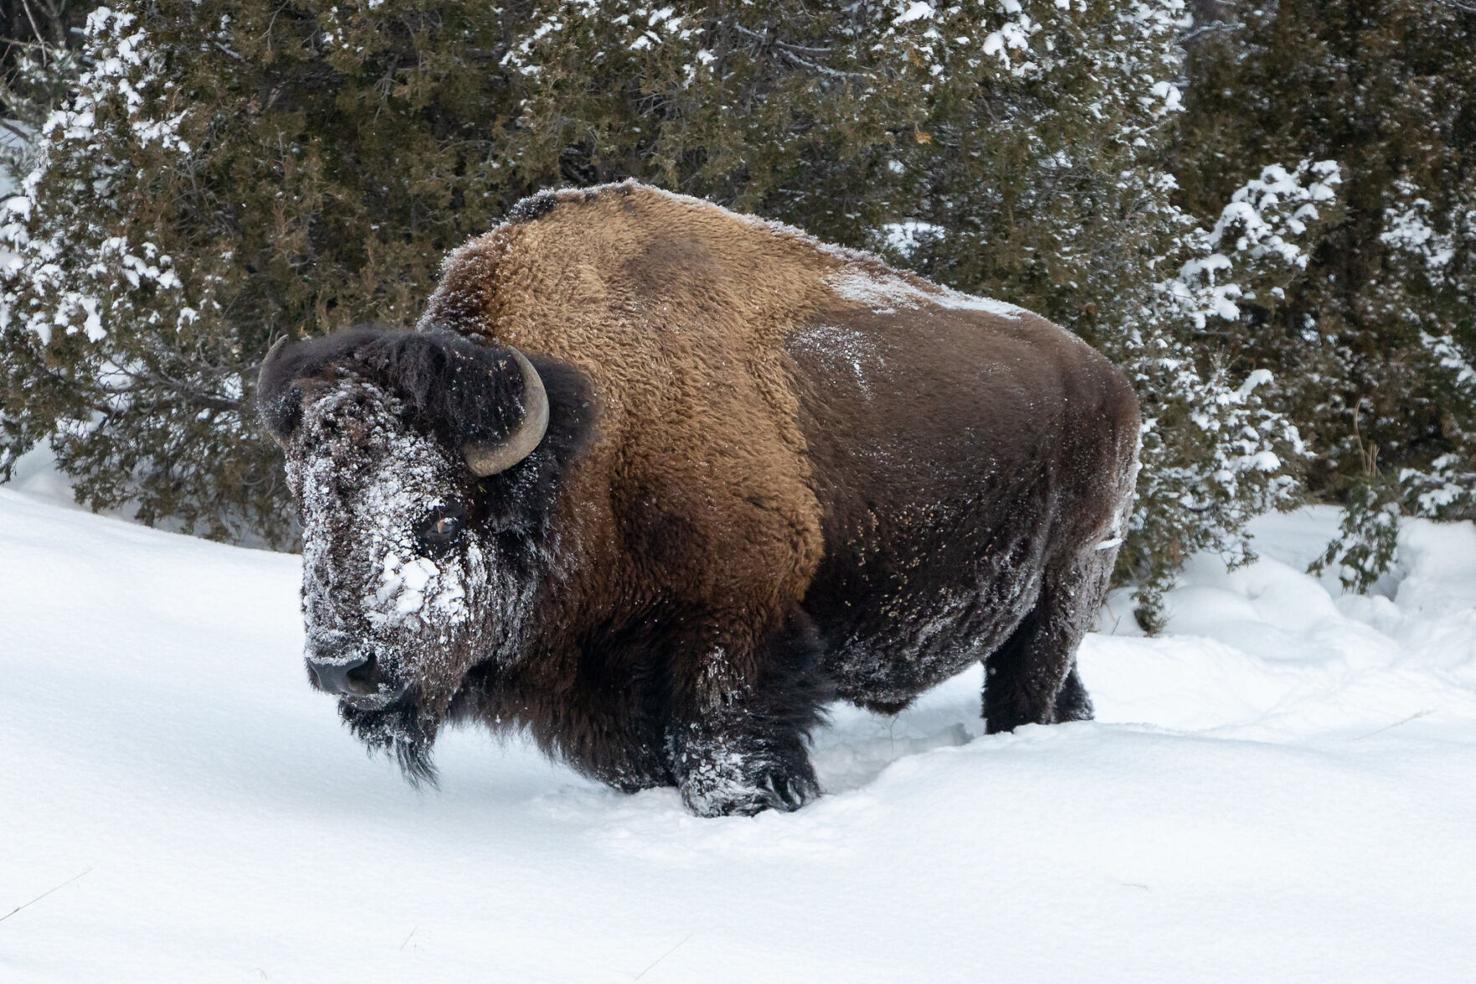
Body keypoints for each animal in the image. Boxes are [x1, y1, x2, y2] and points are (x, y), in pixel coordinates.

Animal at [256, 181, 1140, 816]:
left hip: (1070, 582)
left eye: (438, 520)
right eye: (311, 511)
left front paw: (758, 805)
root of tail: (1111, 379)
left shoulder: (735, 626)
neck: (595, 434)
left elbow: (721, 748)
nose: (343, 669)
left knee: (1025, 688)